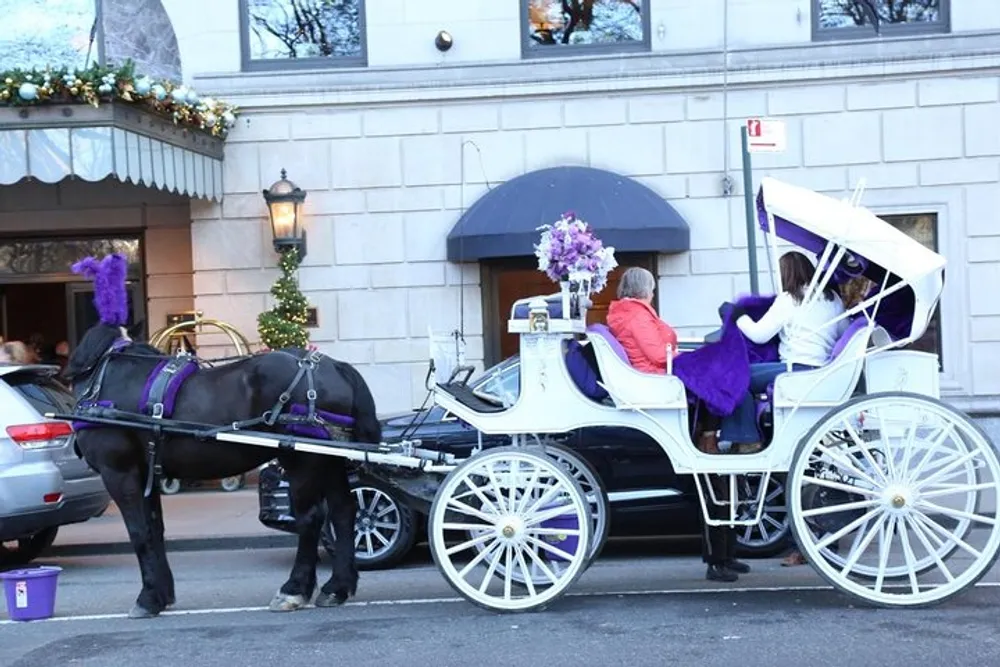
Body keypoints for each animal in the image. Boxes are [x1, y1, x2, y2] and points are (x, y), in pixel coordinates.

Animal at [63, 320, 382, 620]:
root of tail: (333, 366)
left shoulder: (119, 472)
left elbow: (139, 533)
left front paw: (148, 598)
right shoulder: (146, 474)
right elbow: (155, 530)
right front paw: (162, 594)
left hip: (302, 459)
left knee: (311, 518)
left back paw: (293, 590)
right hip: (329, 458)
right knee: (344, 511)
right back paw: (338, 587)